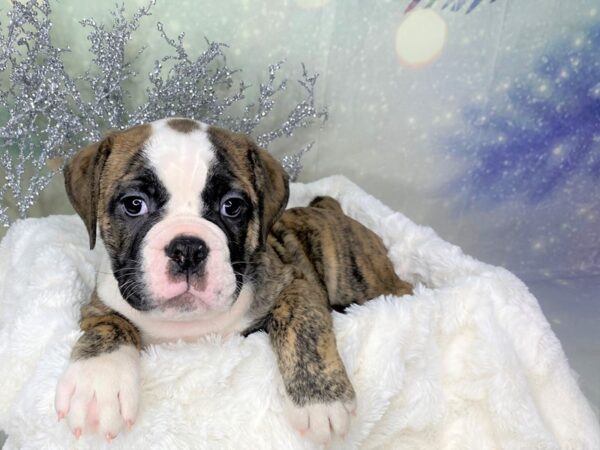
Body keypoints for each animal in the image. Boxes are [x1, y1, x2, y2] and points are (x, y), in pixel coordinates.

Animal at [56, 118, 412, 444]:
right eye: (134, 204)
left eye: (232, 206)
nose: (188, 249)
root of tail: (332, 209)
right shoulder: (99, 305)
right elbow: (109, 328)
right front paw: (97, 382)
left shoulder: (295, 284)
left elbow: (302, 326)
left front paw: (321, 399)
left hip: (355, 276)